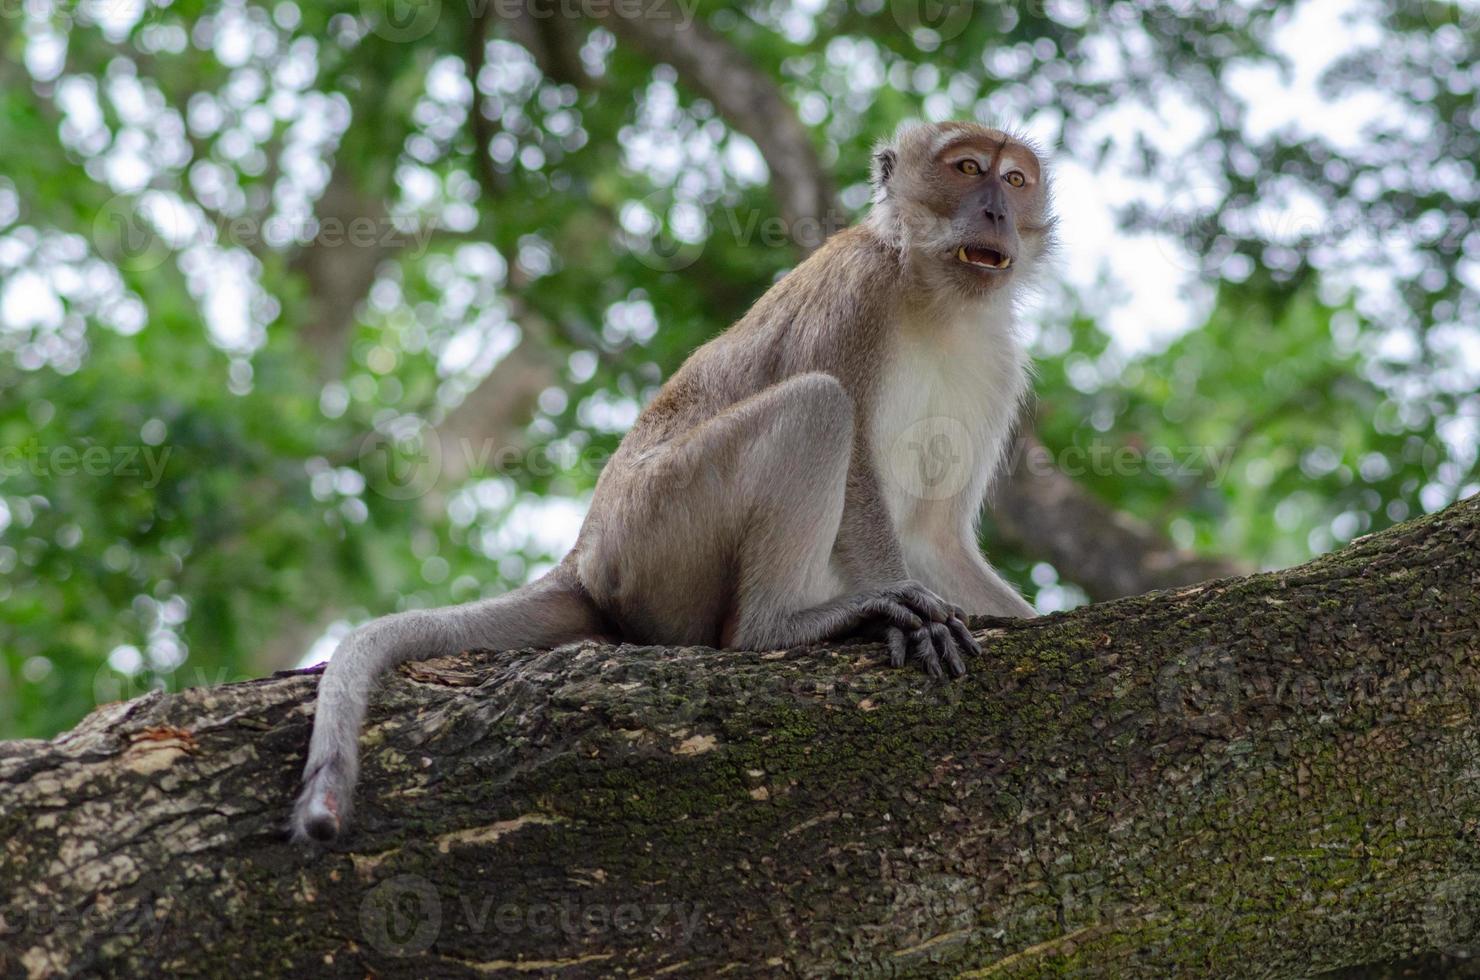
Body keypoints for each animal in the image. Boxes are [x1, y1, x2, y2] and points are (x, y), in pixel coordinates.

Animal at [291, 120, 1053, 846]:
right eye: (967, 168)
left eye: (1015, 179)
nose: (996, 210)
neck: (938, 302)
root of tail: (585, 554)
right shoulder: (857, 293)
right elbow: (859, 462)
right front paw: (905, 600)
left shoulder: (997, 364)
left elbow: (935, 538)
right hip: (657, 528)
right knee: (819, 405)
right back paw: (781, 627)